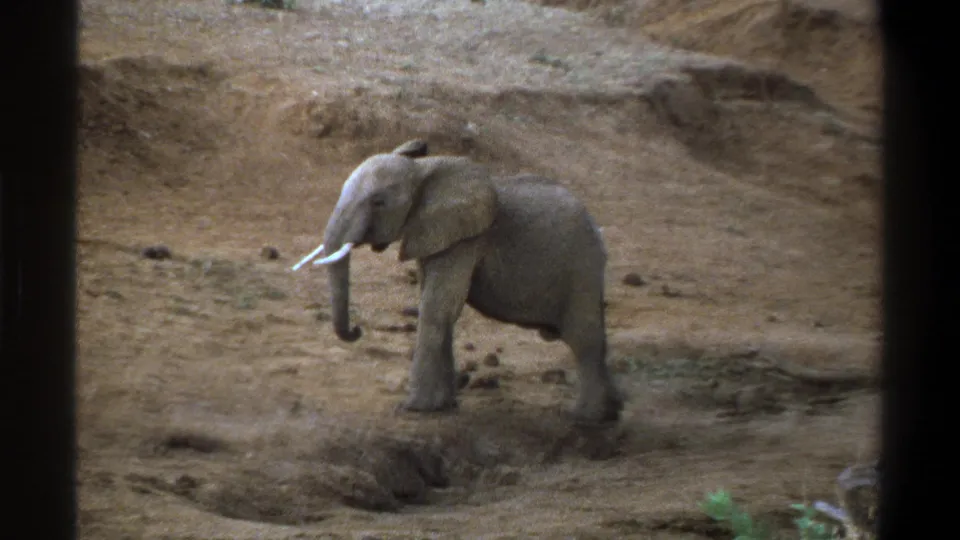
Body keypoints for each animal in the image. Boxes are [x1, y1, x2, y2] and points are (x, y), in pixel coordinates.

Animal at [310, 140, 623, 424]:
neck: (423, 172)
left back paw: (586, 418)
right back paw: (612, 412)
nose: (357, 330)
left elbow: (437, 307)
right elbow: (439, 306)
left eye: (378, 202)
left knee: (583, 338)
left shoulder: (466, 239)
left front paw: (414, 409)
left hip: (581, 267)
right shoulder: (436, 237)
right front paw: (443, 406)